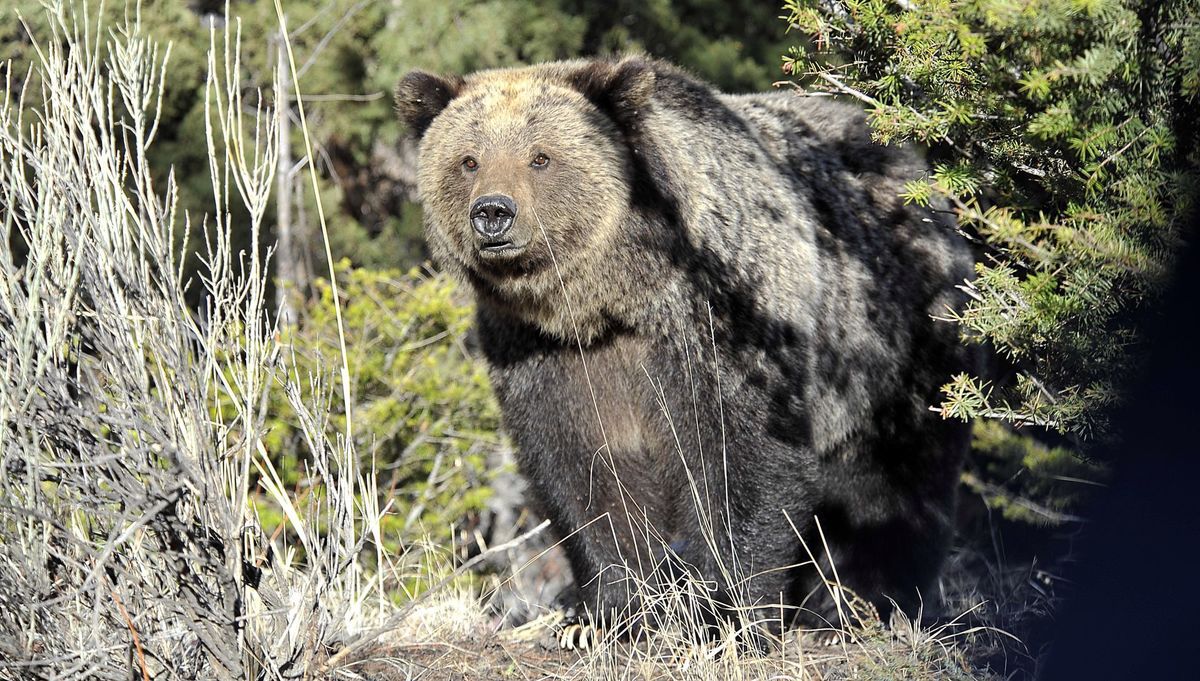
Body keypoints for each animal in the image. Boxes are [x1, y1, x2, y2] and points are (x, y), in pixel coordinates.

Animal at [393, 57, 974, 642]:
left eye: (541, 157)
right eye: (468, 159)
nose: (493, 212)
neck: (611, 301)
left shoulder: (722, 319)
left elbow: (742, 462)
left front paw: (725, 615)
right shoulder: (541, 354)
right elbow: (584, 478)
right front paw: (606, 614)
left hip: (895, 344)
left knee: (897, 482)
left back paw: (860, 602)